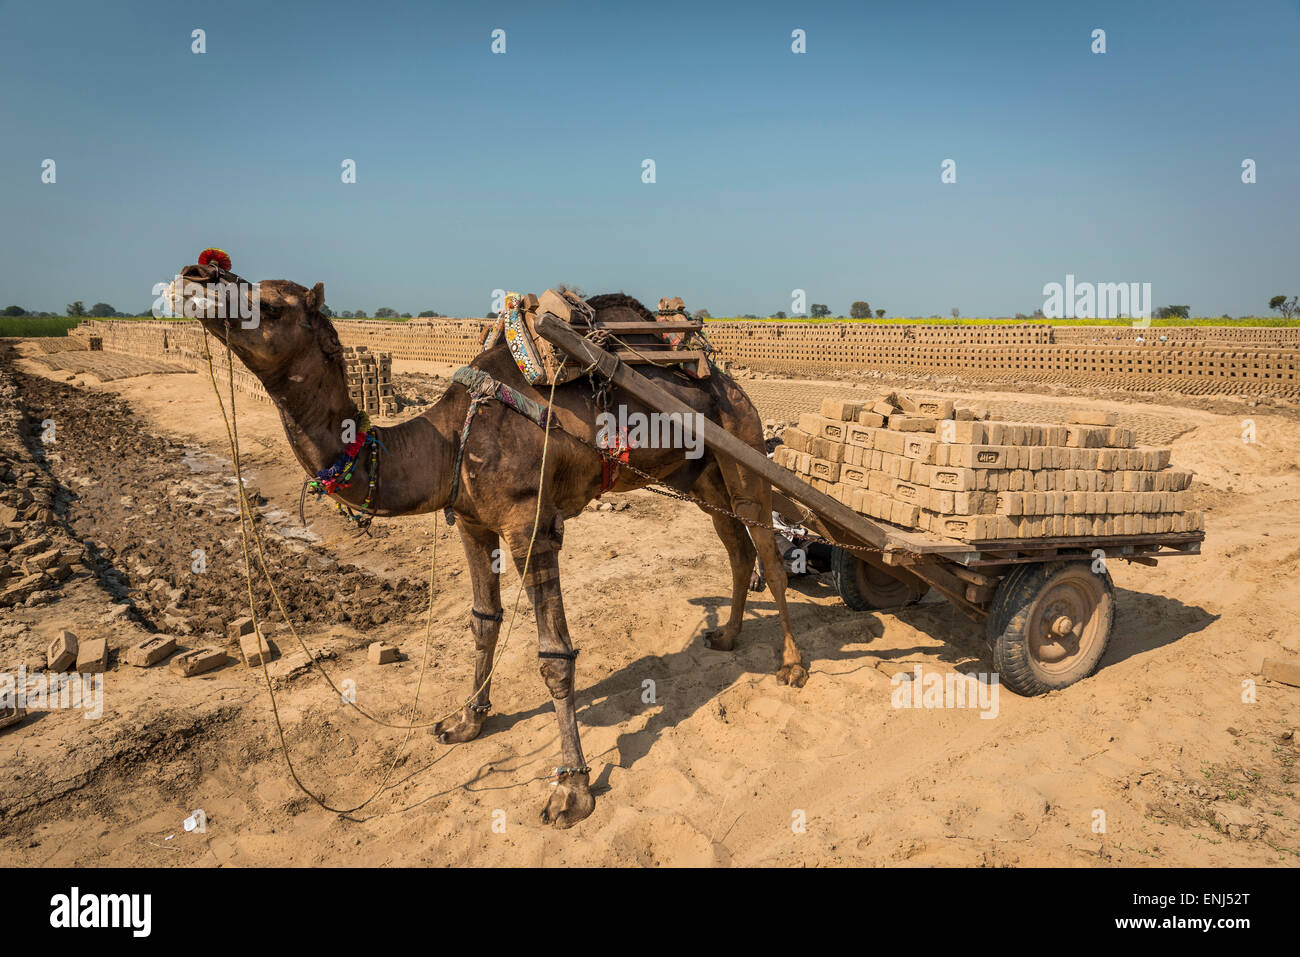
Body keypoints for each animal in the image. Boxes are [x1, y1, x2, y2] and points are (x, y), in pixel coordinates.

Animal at [175, 262, 805, 828]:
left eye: (271, 305)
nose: (197, 276)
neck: (448, 439)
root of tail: (727, 380)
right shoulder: (471, 522)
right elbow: (483, 620)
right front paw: (466, 721)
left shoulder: (531, 524)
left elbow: (554, 657)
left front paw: (571, 791)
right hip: (701, 478)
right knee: (737, 548)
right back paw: (727, 636)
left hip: (743, 446)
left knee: (769, 551)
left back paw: (792, 666)